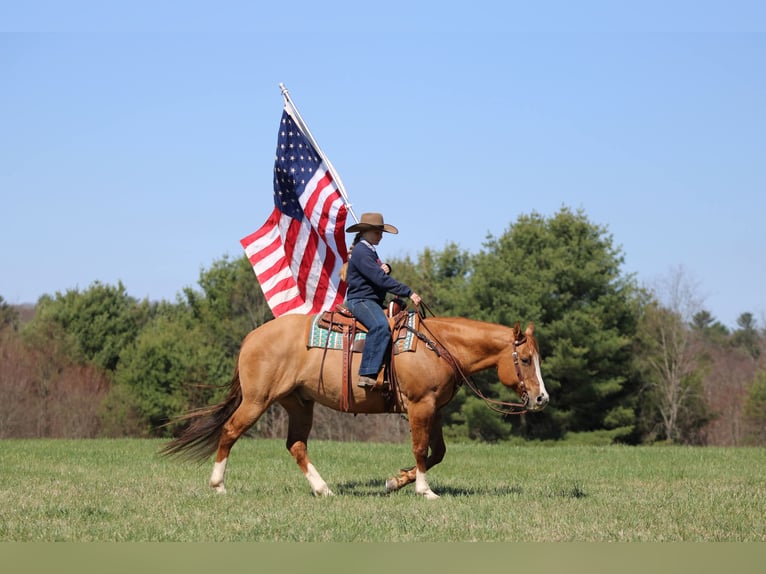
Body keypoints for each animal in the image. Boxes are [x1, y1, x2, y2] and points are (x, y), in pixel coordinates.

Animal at [161, 311, 549, 499]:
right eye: (525, 359)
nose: (541, 398)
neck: (437, 346)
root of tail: (252, 337)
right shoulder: (420, 406)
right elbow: (422, 449)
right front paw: (424, 490)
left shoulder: (434, 409)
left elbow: (436, 452)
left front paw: (396, 481)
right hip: (257, 400)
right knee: (230, 432)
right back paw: (218, 485)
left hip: (299, 403)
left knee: (296, 445)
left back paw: (323, 489)